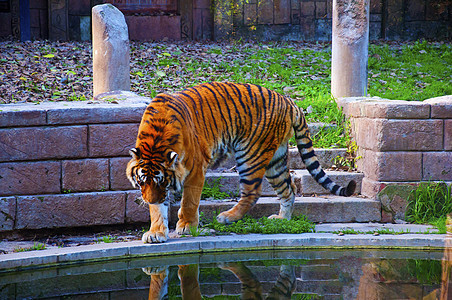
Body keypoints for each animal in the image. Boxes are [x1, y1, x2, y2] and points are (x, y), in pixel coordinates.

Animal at [125, 82, 354, 244]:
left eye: (161, 181)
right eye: (142, 181)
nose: (149, 199)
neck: (155, 142)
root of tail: (289, 101)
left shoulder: (195, 170)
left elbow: (189, 201)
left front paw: (187, 226)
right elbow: (158, 210)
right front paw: (155, 232)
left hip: (251, 154)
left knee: (253, 192)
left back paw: (227, 217)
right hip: (275, 160)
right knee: (289, 189)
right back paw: (282, 219)